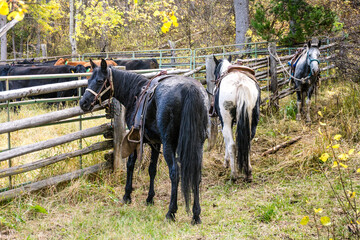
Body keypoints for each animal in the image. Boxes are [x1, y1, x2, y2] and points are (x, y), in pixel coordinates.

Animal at [79, 59, 208, 224]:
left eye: (100, 80)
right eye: (88, 80)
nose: (83, 103)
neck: (134, 92)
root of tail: (190, 89)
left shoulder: (135, 139)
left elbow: (130, 165)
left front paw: (127, 195)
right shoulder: (155, 142)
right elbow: (152, 169)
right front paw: (149, 198)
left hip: (169, 145)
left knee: (175, 173)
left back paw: (171, 212)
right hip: (197, 144)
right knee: (196, 174)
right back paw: (196, 215)